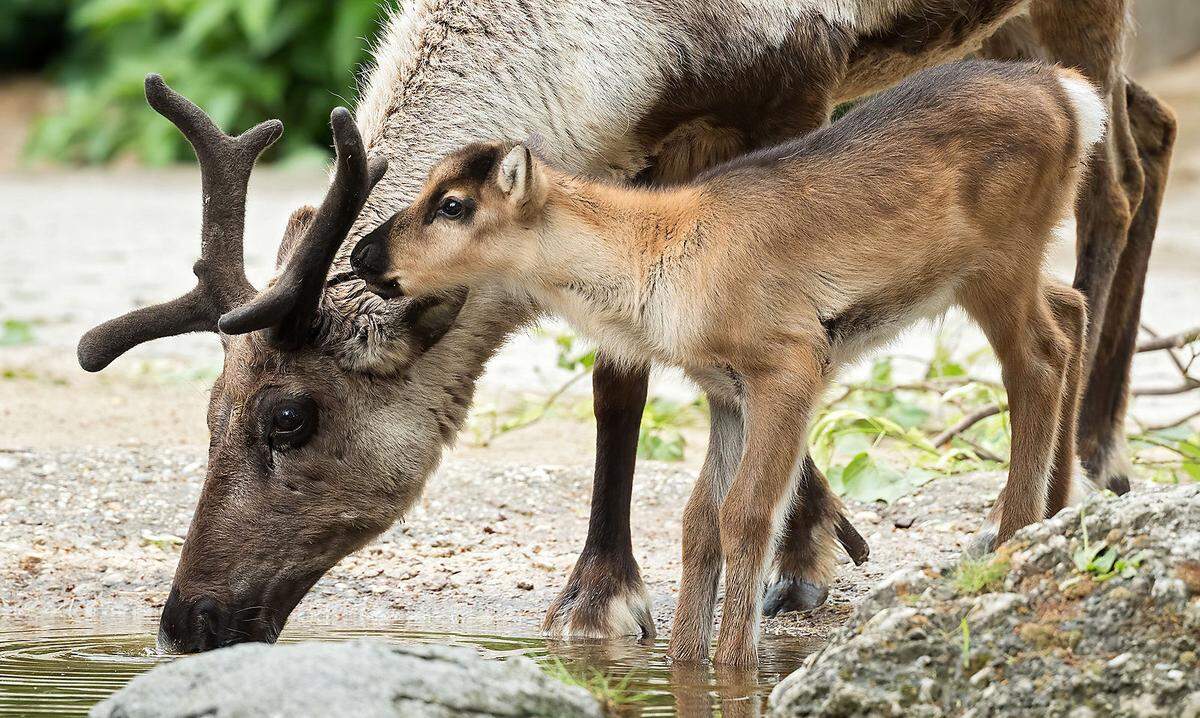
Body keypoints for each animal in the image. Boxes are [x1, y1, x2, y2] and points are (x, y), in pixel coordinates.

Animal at [352, 61, 1104, 667]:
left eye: (454, 204)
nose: (365, 255)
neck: (655, 263)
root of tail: (1069, 93)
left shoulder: (790, 363)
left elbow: (746, 511)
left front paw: (735, 662)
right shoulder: (724, 390)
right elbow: (698, 521)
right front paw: (687, 659)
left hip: (996, 263)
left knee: (1039, 358)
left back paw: (1013, 535)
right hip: (1005, 271)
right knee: (1070, 306)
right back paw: (1058, 510)